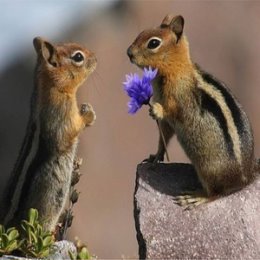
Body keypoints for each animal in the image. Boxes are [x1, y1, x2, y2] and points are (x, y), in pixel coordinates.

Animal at [0, 37, 96, 230]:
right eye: (78, 57)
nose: (96, 58)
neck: (51, 87)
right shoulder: (60, 113)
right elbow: (71, 130)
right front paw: (88, 114)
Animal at [127, 14, 258, 207]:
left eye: (153, 43)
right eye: (142, 32)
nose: (129, 52)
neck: (176, 69)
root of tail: (248, 176)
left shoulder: (180, 99)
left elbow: (174, 110)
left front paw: (157, 109)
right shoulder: (167, 125)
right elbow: (163, 138)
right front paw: (155, 157)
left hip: (208, 170)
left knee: (216, 194)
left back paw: (196, 197)